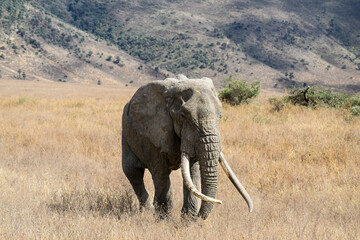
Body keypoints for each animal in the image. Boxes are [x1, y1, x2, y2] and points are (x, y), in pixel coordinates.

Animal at [121, 75, 253, 219]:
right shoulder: (153, 133)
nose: (200, 216)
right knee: (132, 172)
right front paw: (164, 220)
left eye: (220, 116)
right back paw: (148, 213)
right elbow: (160, 174)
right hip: (125, 132)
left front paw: (188, 220)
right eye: (183, 116)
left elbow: (192, 173)